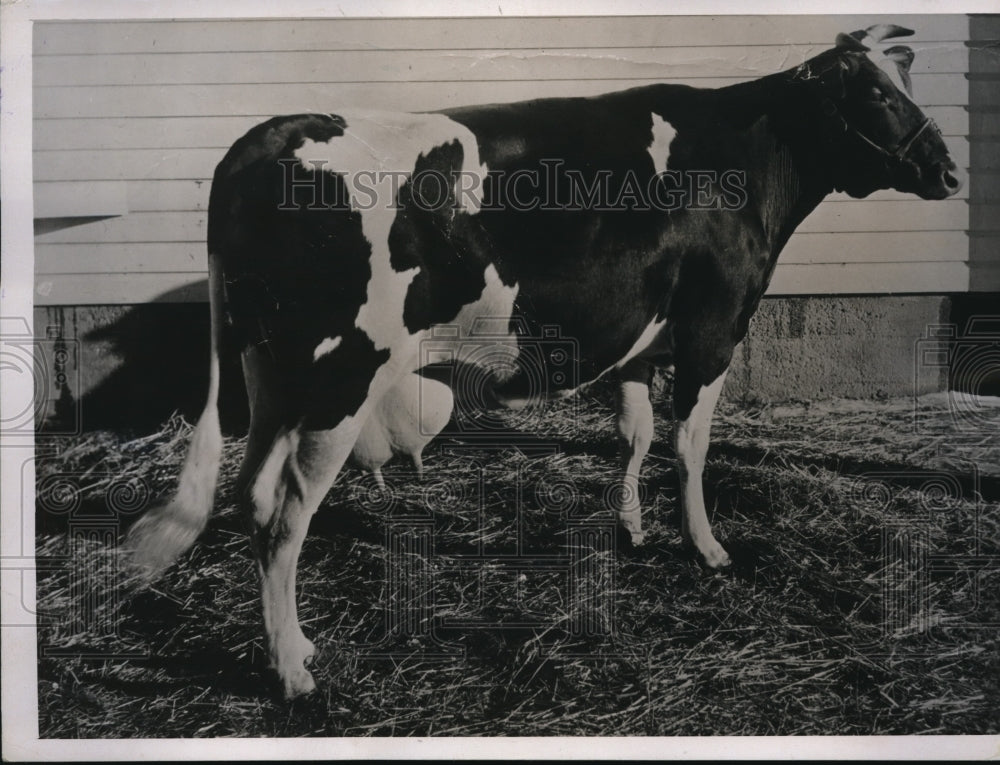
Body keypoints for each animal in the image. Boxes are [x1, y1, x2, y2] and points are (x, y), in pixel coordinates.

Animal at [125, 26, 960, 700]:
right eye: (878, 94)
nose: (949, 171)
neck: (747, 157)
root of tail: (271, 133)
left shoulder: (638, 338)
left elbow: (635, 433)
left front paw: (631, 528)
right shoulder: (714, 326)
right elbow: (690, 445)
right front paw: (707, 547)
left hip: (271, 373)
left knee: (253, 493)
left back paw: (294, 644)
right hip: (339, 375)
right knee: (286, 513)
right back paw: (292, 672)